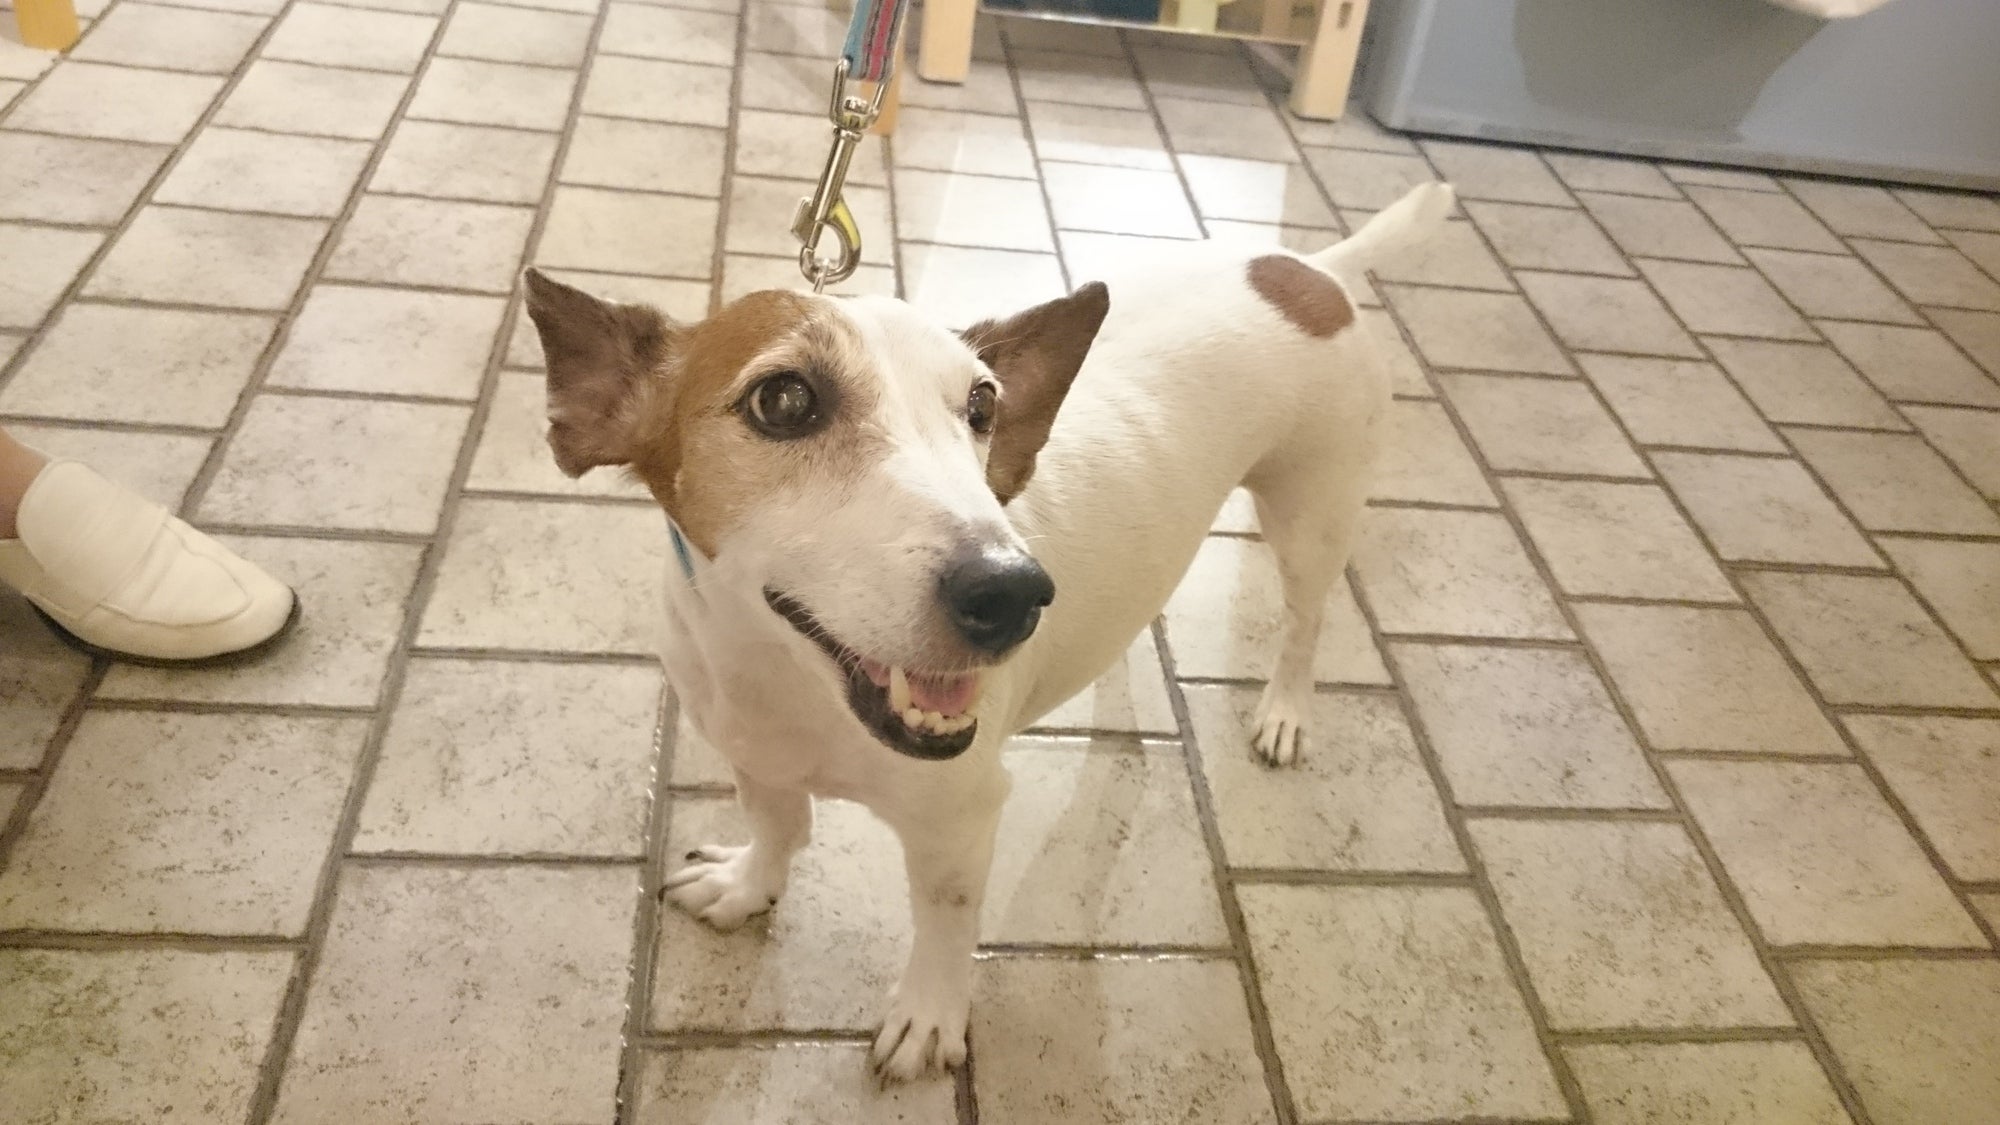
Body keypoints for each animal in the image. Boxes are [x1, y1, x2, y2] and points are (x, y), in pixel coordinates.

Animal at [522, 181, 1455, 1082]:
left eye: (982, 403)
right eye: (783, 399)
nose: (1013, 592)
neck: (789, 682)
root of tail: (1314, 269)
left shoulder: (959, 818)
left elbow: (945, 919)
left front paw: (929, 1015)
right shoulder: (755, 754)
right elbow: (779, 829)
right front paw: (750, 885)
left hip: (1312, 515)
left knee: (1306, 617)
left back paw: (1285, 711)